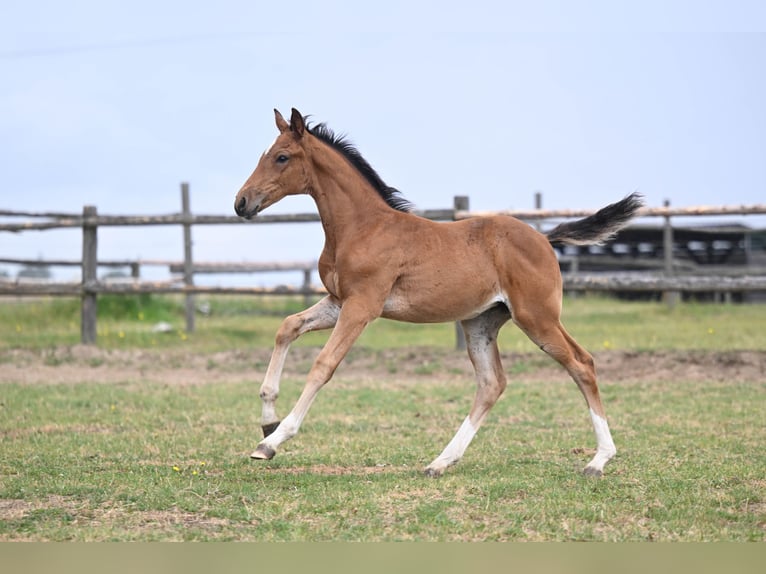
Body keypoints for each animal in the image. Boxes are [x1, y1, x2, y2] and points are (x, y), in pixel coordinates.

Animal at [234, 108, 644, 477]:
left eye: (282, 157)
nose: (241, 202)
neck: (362, 228)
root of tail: (544, 238)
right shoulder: (339, 301)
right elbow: (287, 326)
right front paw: (268, 421)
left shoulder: (362, 306)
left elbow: (323, 365)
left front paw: (271, 442)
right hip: (480, 323)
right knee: (492, 383)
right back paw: (440, 462)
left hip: (537, 317)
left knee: (582, 364)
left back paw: (598, 461)